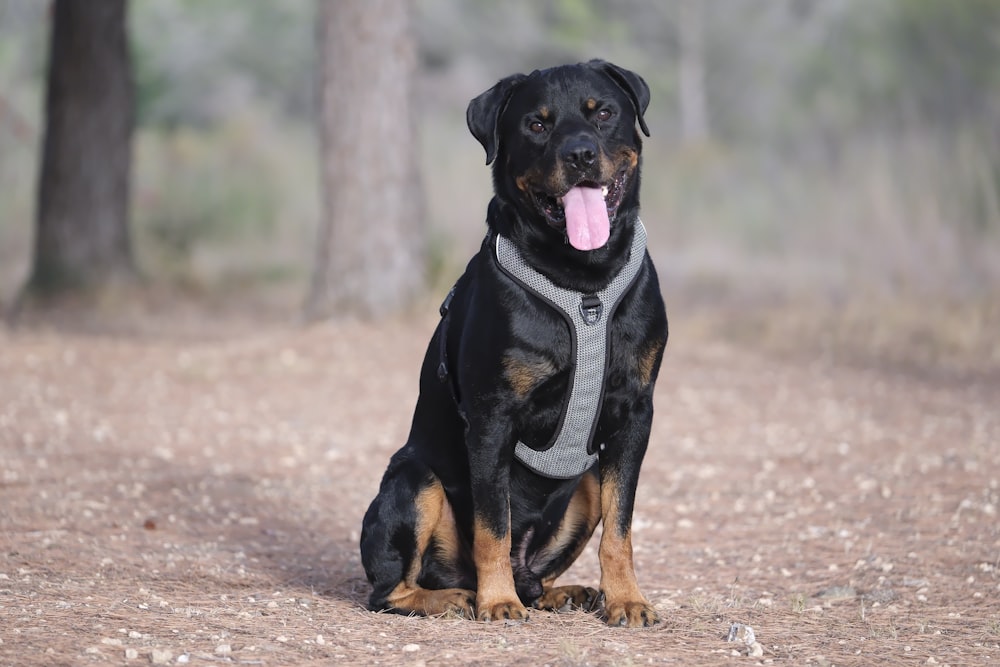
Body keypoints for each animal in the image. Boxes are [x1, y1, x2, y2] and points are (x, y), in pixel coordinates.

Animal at [364, 60, 668, 628]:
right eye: (537, 124)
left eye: (604, 113)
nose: (580, 154)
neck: (583, 282)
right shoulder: (492, 417)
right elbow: (493, 525)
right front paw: (497, 602)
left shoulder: (636, 411)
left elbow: (620, 526)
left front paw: (626, 599)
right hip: (414, 480)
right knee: (389, 590)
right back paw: (458, 597)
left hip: (586, 481)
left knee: (537, 569)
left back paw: (561, 591)